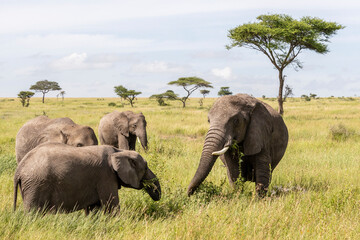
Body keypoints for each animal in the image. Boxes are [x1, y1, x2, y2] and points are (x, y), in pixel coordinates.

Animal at [13, 142, 160, 214]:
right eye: (146, 167)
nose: (156, 196)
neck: (119, 151)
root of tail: (19, 170)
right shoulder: (105, 176)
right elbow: (111, 205)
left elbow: (94, 208)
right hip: (36, 184)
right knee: (32, 212)